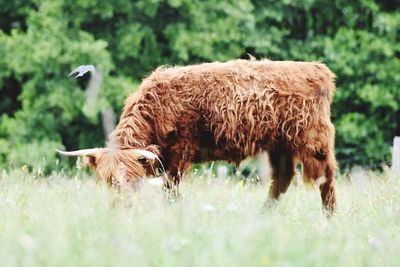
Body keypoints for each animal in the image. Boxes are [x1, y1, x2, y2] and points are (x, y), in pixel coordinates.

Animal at [57, 59, 338, 215]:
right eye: (107, 181)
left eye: (132, 181)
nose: (120, 206)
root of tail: (317, 68)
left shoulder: (179, 153)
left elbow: (170, 189)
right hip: (279, 144)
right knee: (282, 178)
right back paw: (264, 214)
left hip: (313, 139)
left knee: (326, 177)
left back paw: (329, 217)